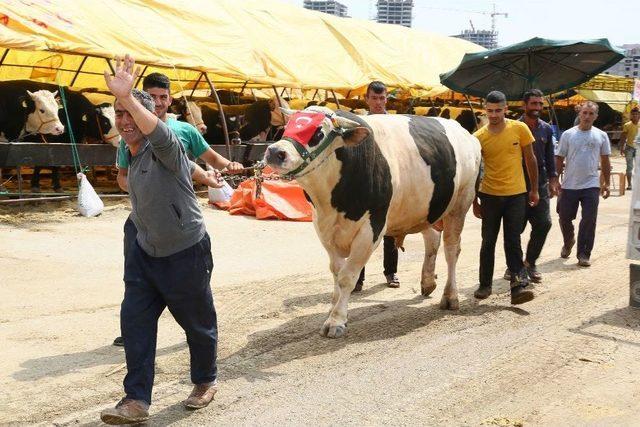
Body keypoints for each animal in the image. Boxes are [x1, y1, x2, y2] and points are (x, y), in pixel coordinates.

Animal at [264, 106, 480, 338]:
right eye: (288, 126)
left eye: (319, 133)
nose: (275, 152)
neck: (331, 202)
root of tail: (468, 135)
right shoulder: (324, 229)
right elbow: (336, 273)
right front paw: (333, 310)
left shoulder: (371, 229)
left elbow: (347, 276)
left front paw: (336, 320)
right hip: (425, 209)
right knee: (432, 239)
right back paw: (428, 282)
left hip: (460, 204)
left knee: (451, 250)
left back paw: (450, 296)